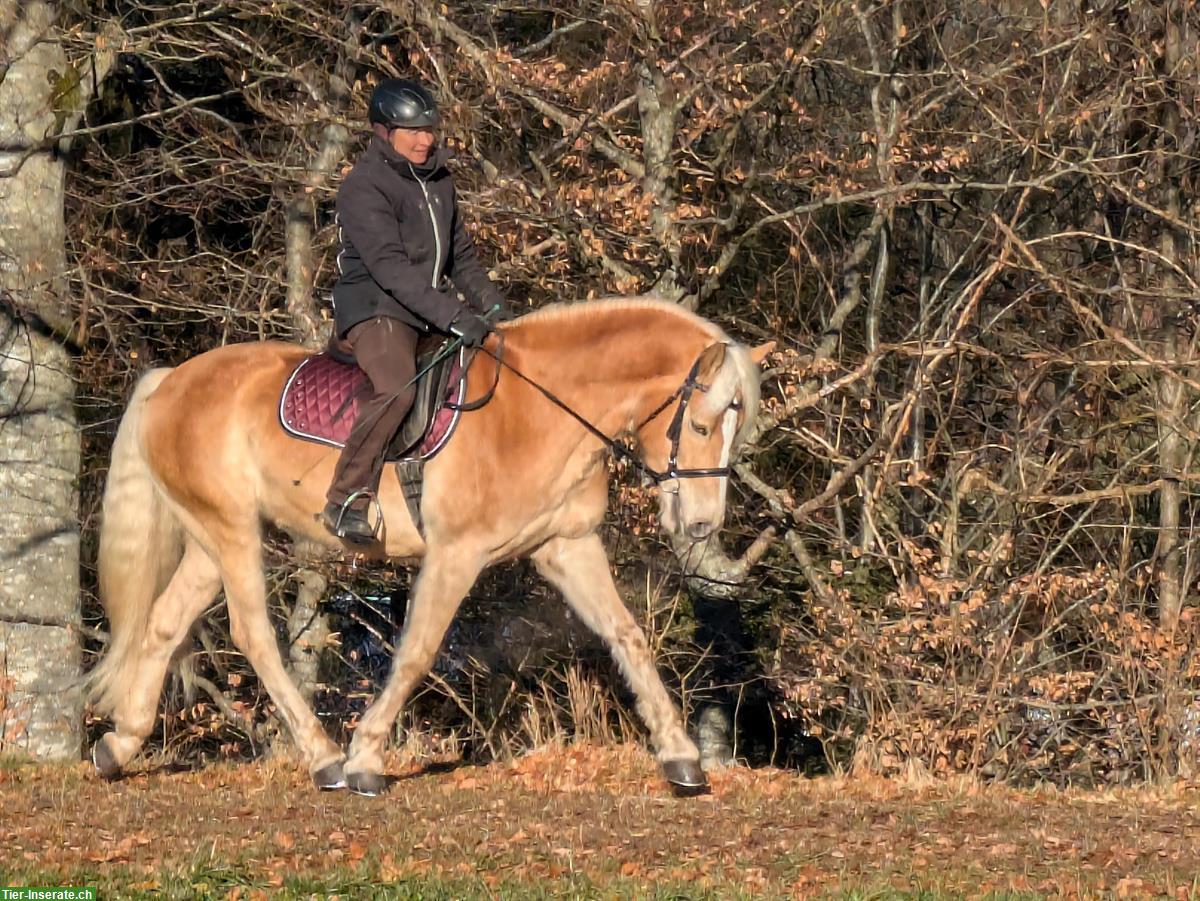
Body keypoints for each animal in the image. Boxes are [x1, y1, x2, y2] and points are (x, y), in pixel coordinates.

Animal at [88, 297, 772, 796]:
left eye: (739, 428)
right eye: (702, 425)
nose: (703, 524)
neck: (537, 409)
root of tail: (169, 382)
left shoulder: (566, 546)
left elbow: (627, 635)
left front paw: (681, 757)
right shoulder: (456, 553)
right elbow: (417, 651)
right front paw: (365, 759)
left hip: (211, 537)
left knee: (163, 623)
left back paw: (118, 745)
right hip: (231, 532)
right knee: (251, 631)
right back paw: (325, 758)